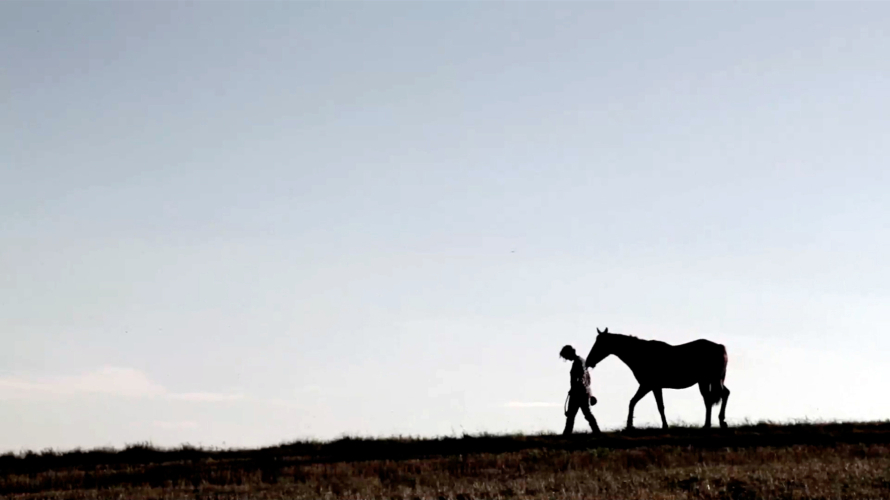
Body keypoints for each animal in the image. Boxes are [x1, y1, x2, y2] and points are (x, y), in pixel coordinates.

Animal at [588, 328, 724, 430]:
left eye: (600, 344)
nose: (589, 361)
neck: (641, 354)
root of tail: (719, 347)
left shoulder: (650, 386)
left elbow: (659, 406)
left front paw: (664, 426)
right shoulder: (648, 386)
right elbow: (633, 402)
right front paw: (629, 425)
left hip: (707, 380)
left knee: (712, 398)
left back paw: (713, 423)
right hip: (711, 380)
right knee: (720, 395)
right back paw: (715, 422)